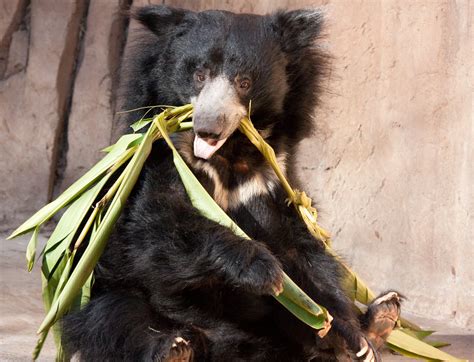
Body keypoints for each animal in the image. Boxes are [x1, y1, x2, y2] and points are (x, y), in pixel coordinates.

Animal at [63, 5, 402, 362]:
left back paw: (378, 320)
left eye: (244, 82)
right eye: (199, 74)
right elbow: (157, 227)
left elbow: (304, 254)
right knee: (116, 316)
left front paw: (349, 336)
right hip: (117, 292)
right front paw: (262, 269)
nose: (208, 128)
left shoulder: (272, 179)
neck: (228, 155)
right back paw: (174, 348)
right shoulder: (159, 159)